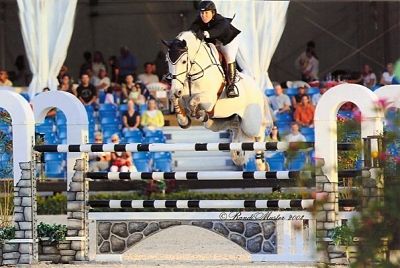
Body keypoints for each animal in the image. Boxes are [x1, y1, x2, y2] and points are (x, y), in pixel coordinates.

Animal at [162, 31, 272, 170]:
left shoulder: (208, 99)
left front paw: (198, 113)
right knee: (235, 127)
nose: (176, 90)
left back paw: (261, 164)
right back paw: (237, 154)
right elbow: (176, 100)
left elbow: (194, 101)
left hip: (251, 124)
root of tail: (258, 90)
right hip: (221, 122)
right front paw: (184, 120)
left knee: (259, 135)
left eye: (183, 61)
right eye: (167, 61)